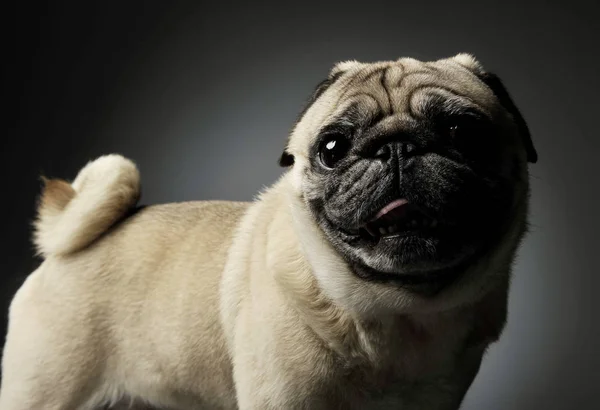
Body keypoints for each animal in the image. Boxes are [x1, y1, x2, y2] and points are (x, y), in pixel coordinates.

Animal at [0, 54, 540, 410]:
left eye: (464, 133)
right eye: (332, 147)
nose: (397, 147)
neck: (394, 308)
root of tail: (64, 252)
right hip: (44, 390)